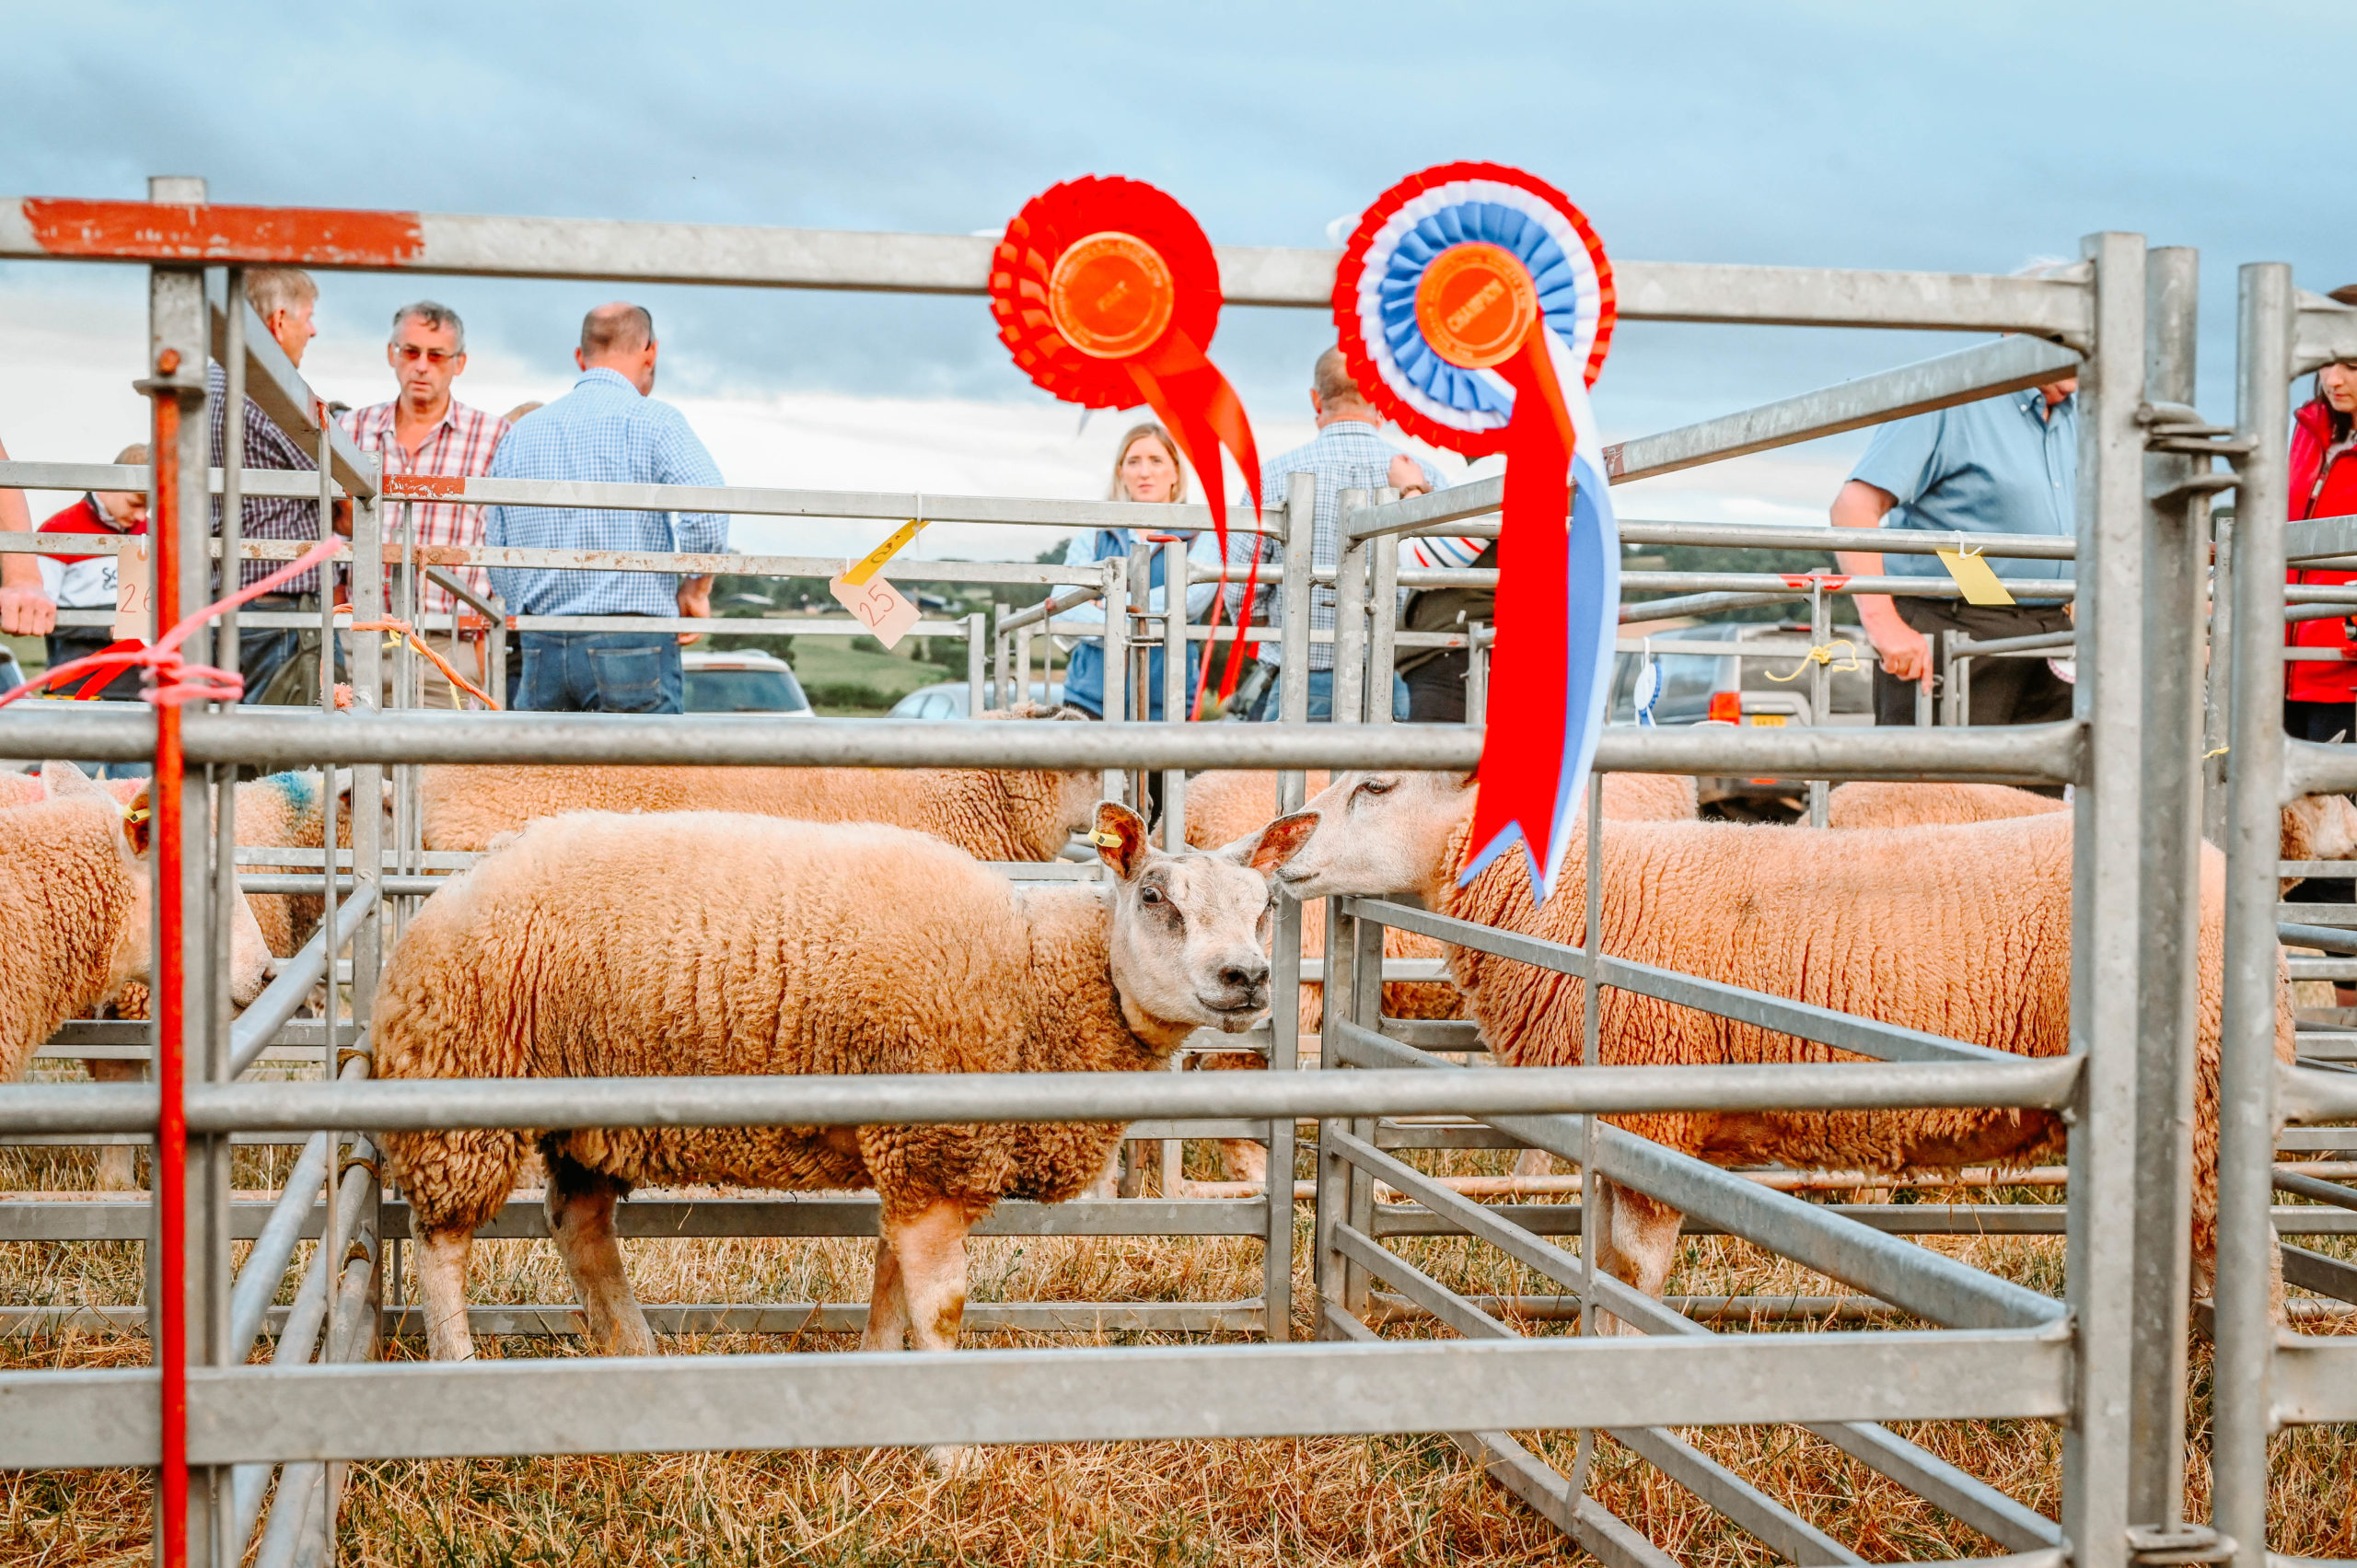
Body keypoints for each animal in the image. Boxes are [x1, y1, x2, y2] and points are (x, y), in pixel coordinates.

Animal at [377, 801, 1319, 1376]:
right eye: (1156, 895)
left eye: (1265, 903)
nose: (1247, 976)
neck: (1032, 970)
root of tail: (452, 887)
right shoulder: (935, 1148)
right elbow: (941, 1306)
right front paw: (949, 1457)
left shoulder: (915, 1153)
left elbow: (893, 1283)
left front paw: (874, 1375)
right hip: (459, 1092)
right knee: (441, 1241)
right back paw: (458, 1363)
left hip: (585, 1119)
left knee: (580, 1228)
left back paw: (639, 1352)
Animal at [1263, 768, 2291, 1320]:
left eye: (1377, 785)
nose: (1282, 847)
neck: (1573, 897)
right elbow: (1603, 1260)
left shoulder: (1655, 1117)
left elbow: (1635, 1273)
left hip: (2203, 1117)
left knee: (2255, 1271)